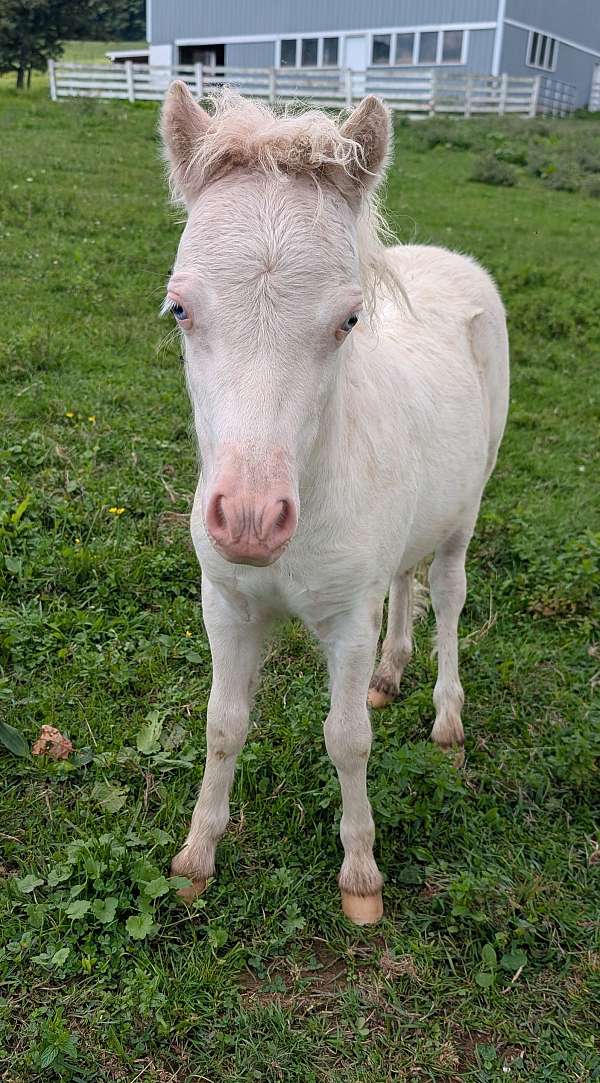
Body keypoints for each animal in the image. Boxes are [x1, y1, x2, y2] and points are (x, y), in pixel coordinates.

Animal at [159, 83, 509, 924]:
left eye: (349, 319)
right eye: (179, 309)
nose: (250, 521)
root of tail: (449, 259)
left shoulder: (347, 619)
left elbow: (348, 738)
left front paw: (361, 876)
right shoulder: (224, 602)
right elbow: (223, 724)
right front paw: (196, 858)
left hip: (467, 509)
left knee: (448, 592)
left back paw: (447, 714)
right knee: (406, 579)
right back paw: (392, 671)